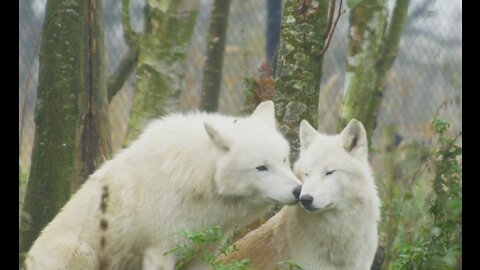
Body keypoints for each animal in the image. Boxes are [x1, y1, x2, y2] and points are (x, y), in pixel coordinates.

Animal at [24, 101, 302, 270]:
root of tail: (27, 259)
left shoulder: (203, 253)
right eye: (261, 167)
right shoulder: (160, 253)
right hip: (83, 252)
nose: (299, 191)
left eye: (284, 160)